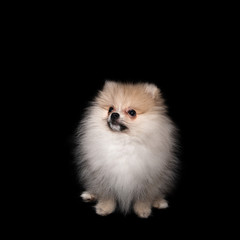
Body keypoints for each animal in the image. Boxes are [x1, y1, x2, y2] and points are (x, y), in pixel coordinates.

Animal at [75, 80, 178, 218]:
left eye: (132, 112)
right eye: (110, 109)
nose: (114, 114)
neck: (123, 141)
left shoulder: (148, 178)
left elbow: (143, 197)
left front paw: (143, 210)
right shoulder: (103, 175)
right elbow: (107, 194)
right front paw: (104, 208)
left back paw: (159, 201)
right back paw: (90, 195)